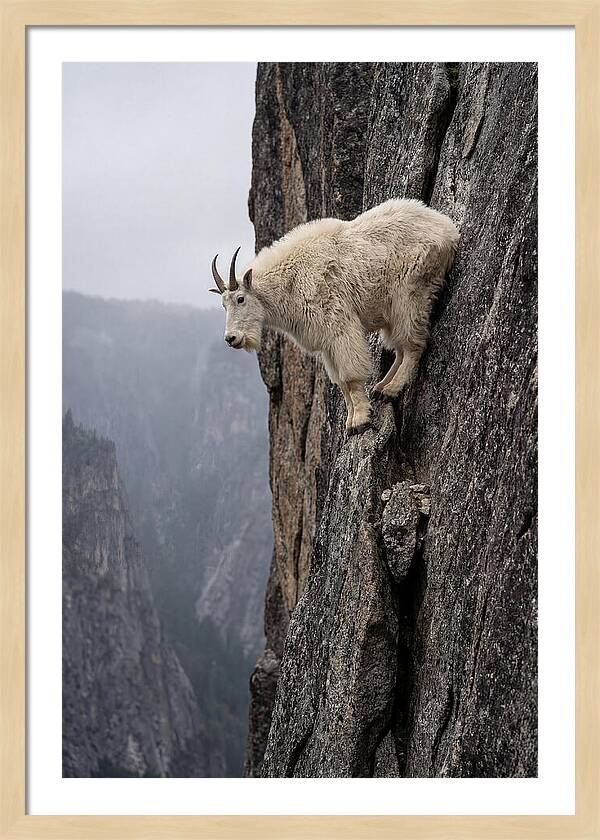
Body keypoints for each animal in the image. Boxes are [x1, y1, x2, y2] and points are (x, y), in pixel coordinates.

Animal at [209, 199, 459, 434]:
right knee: (399, 347)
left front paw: (360, 421)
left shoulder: (339, 326)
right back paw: (381, 387)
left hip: (410, 294)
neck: (291, 281)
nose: (231, 338)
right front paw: (350, 421)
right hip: (391, 310)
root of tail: (448, 228)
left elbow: (350, 376)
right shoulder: (326, 343)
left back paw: (391, 390)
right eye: (223, 305)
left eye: (240, 299)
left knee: (413, 344)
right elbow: (340, 382)